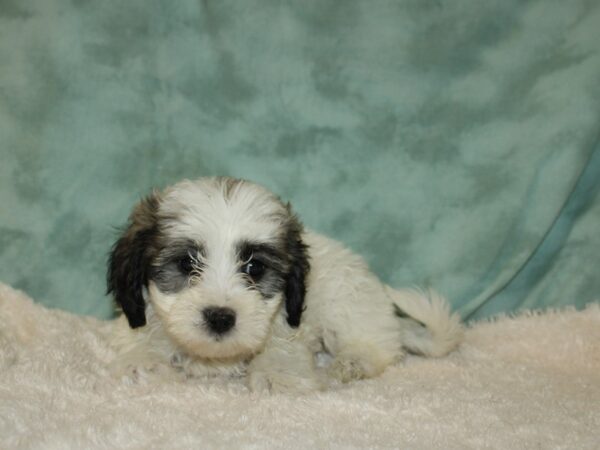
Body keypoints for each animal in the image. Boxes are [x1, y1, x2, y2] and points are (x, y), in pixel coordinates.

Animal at [109, 178, 464, 392]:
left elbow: (281, 348)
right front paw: (142, 362)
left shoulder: (291, 320)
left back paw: (351, 363)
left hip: (347, 304)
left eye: (254, 267)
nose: (221, 317)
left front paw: (276, 375)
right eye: (186, 264)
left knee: (379, 346)